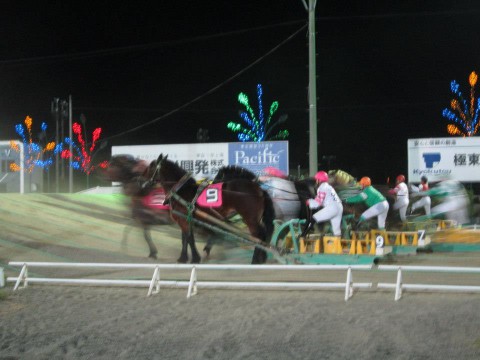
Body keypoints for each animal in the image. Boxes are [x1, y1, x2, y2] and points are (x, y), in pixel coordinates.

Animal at [146, 155, 276, 264]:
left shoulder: (184, 220)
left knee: (259, 236)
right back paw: (261, 257)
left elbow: (189, 239)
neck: (181, 190)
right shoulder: (184, 219)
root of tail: (259, 190)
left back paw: (256, 259)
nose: (145, 181)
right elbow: (185, 239)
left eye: (151, 166)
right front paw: (183, 258)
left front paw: (195, 258)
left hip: (250, 218)